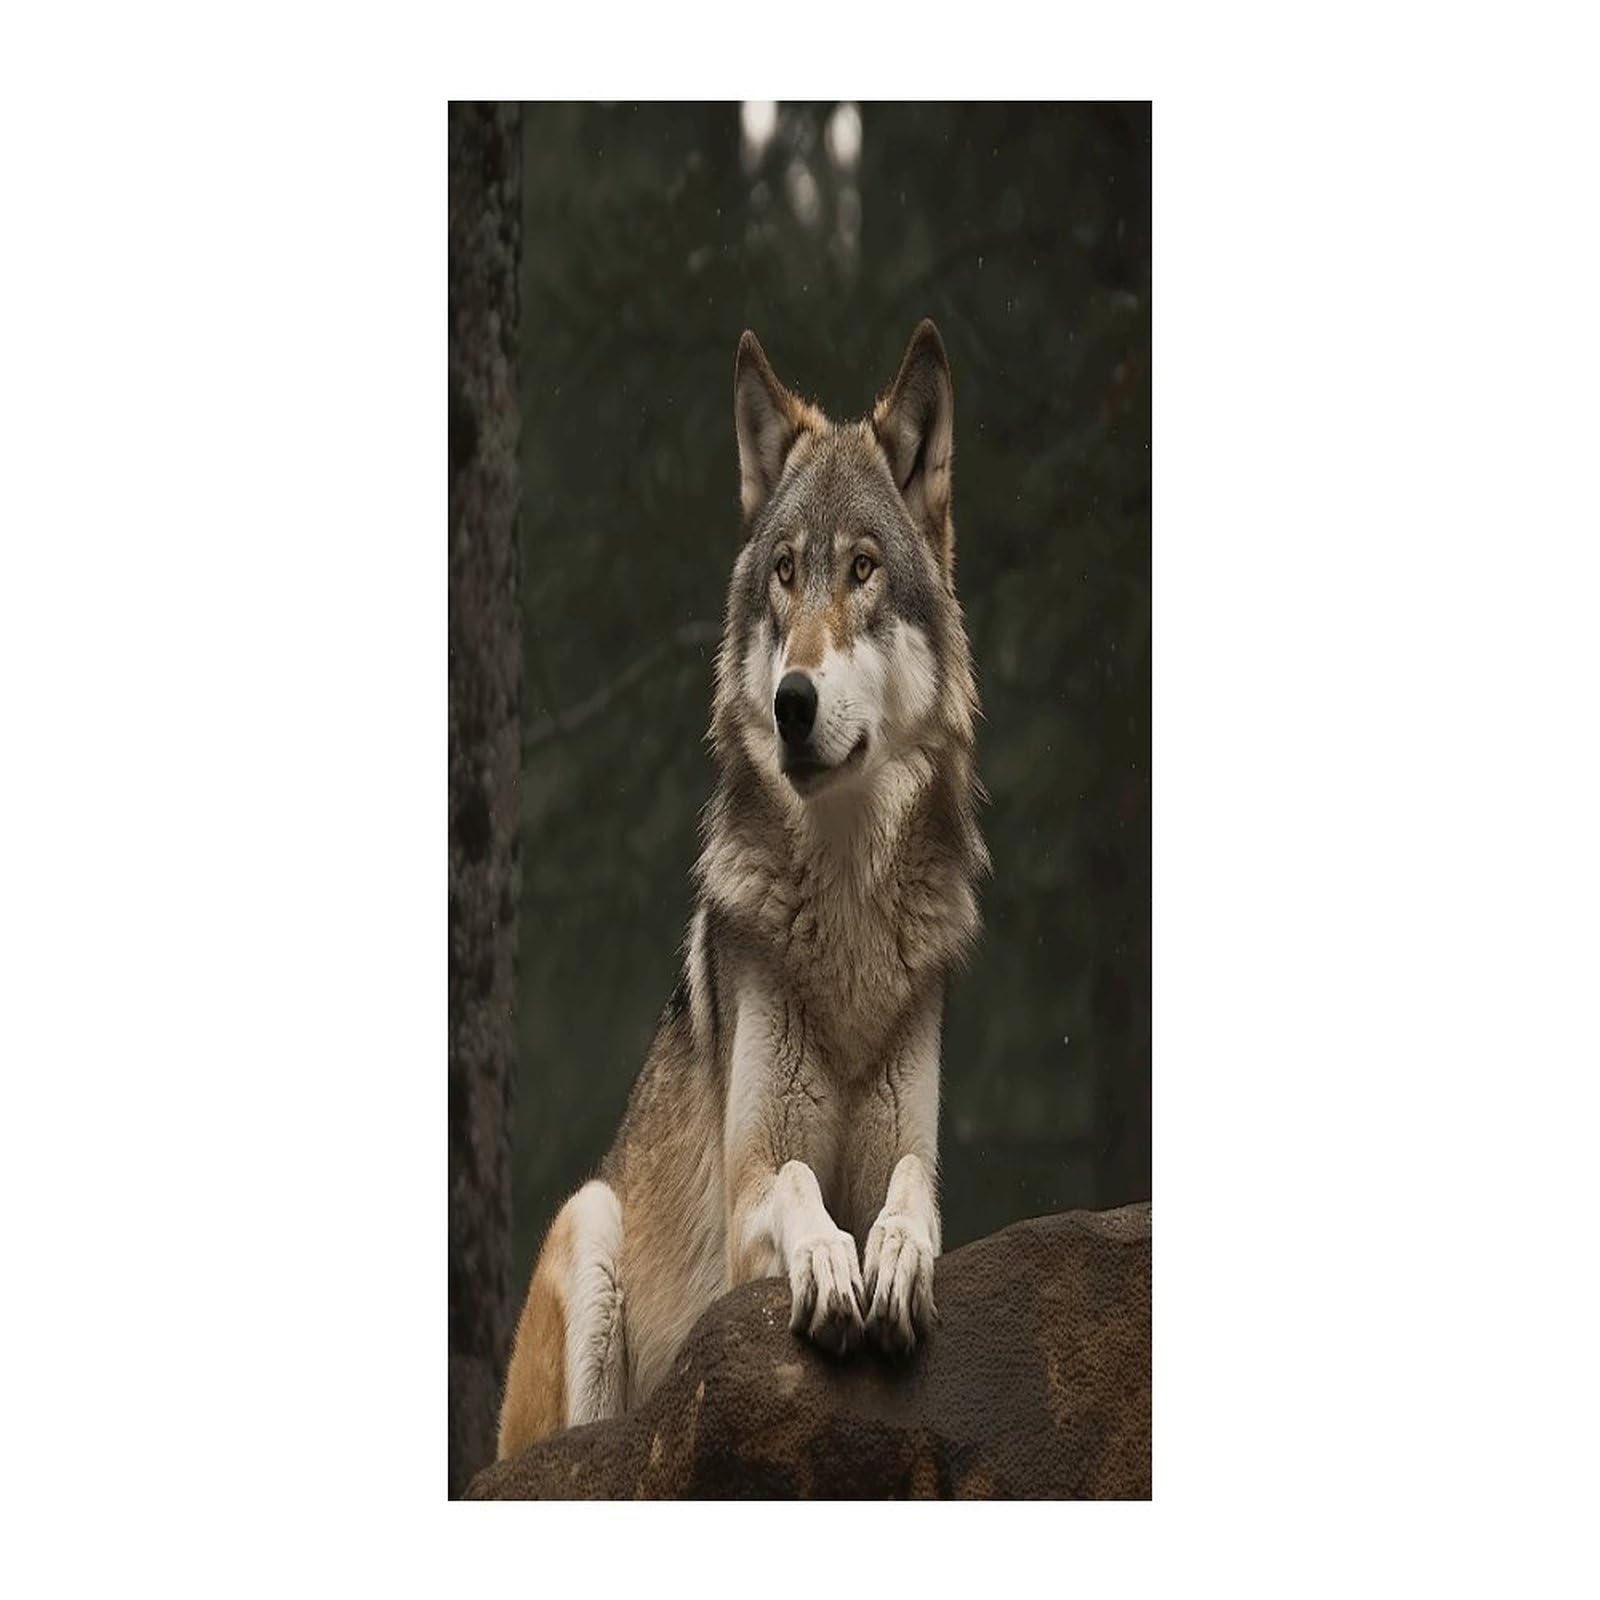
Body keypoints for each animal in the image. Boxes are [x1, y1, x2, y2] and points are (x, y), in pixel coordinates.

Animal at [496, 320, 989, 1459]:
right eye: (782, 573)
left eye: (861, 569)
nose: (792, 700)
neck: (847, 915)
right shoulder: (747, 1188)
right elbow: (799, 1186)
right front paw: (829, 1259)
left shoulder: (916, 1153)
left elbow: (913, 1193)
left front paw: (893, 1254)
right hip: (591, 1221)